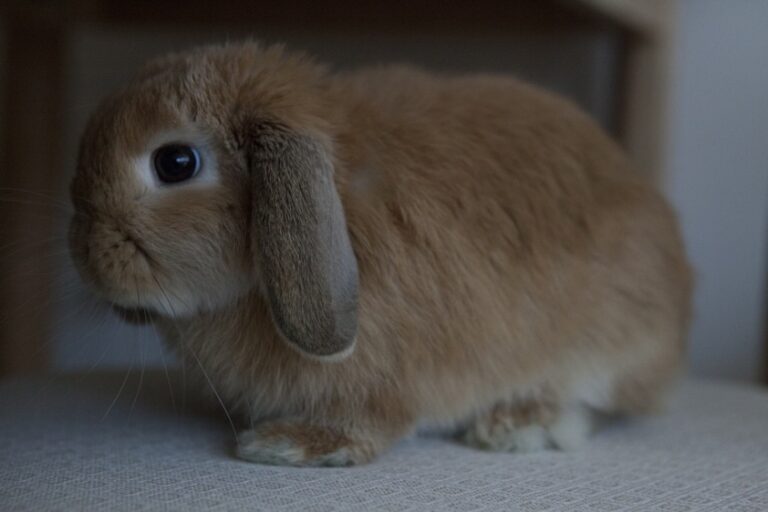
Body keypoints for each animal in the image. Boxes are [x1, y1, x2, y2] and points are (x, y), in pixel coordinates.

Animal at [68, 42, 692, 466]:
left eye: (175, 163)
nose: (84, 255)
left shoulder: (384, 379)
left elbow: (370, 421)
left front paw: (287, 444)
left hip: (604, 343)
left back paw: (518, 425)